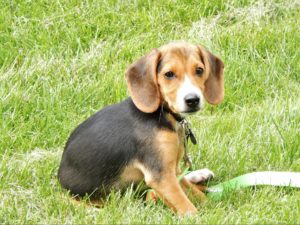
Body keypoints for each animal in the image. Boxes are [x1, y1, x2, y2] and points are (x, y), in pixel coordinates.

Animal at [57, 41, 224, 215]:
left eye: (199, 70)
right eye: (169, 74)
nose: (192, 100)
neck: (162, 115)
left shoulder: (169, 170)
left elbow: (194, 193)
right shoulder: (161, 176)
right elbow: (187, 206)